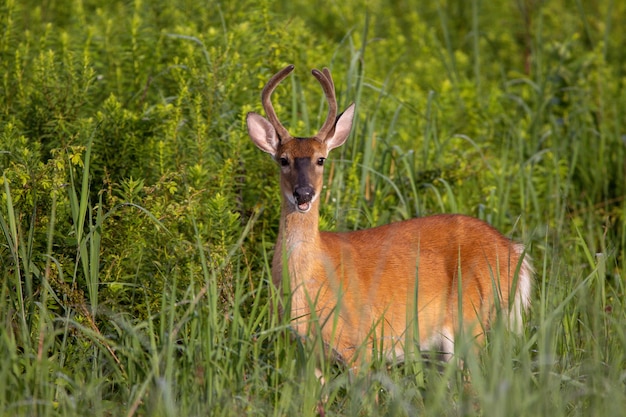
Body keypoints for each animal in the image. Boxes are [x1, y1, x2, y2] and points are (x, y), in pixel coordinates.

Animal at [246, 63, 528, 368]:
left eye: (321, 159)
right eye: (283, 160)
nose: (304, 194)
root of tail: (514, 251)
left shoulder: (360, 345)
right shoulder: (308, 352)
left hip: (473, 317)